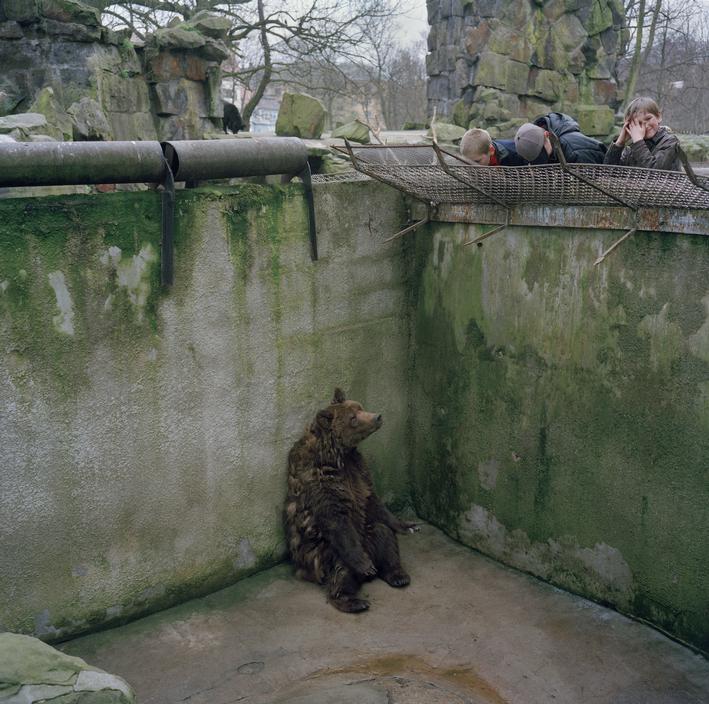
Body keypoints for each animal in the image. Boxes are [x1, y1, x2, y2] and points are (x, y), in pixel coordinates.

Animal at [284, 388, 412, 612]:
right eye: (353, 418)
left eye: (360, 407)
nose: (377, 416)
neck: (340, 454)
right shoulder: (321, 480)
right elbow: (335, 518)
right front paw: (363, 565)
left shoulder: (359, 470)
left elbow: (373, 501)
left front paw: (407, 525)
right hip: (325, 556)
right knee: (342, 570)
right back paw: (354, 598)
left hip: (367, 535)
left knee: (384, 536)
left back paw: (397, 574)